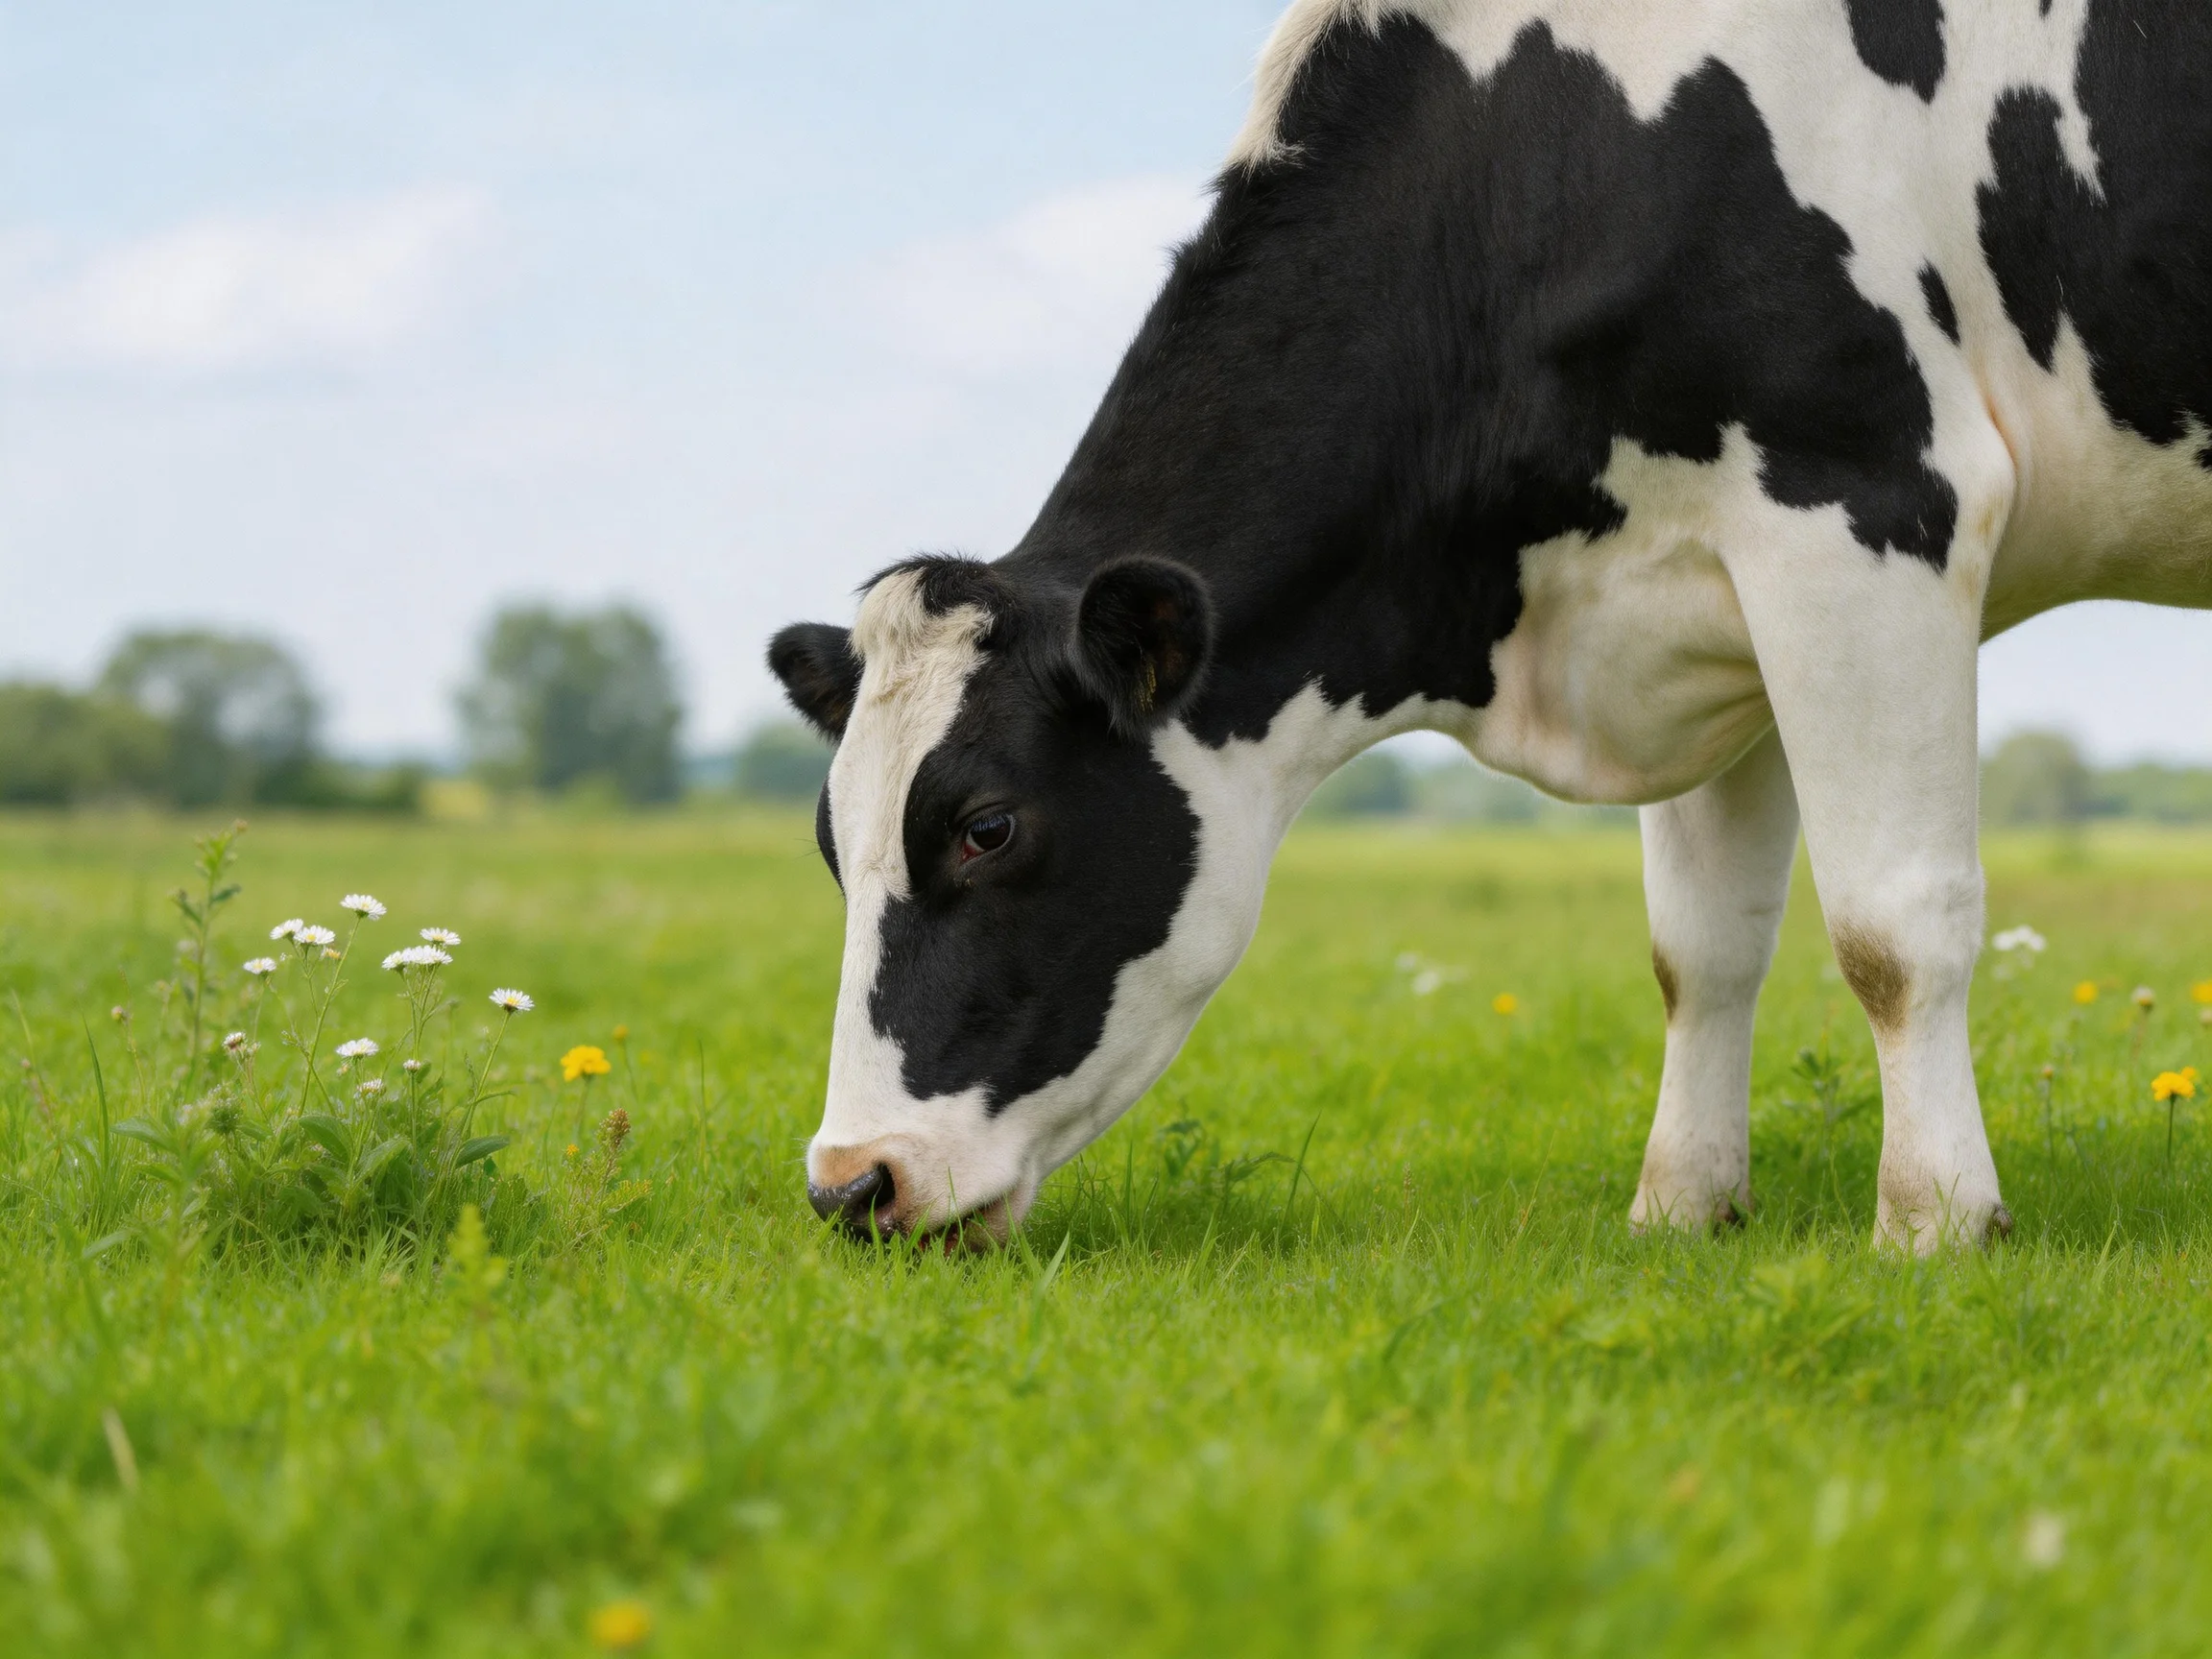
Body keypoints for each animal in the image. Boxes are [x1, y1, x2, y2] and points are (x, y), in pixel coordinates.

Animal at [768, 0, 2212, 1255]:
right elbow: (1703, 950)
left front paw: (1938, 1226)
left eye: (987, 826)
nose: (852, 1183)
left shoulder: (1863, 497)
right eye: (831, 845)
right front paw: (1682, 1209)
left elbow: (1891, 927)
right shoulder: (1703, 596)